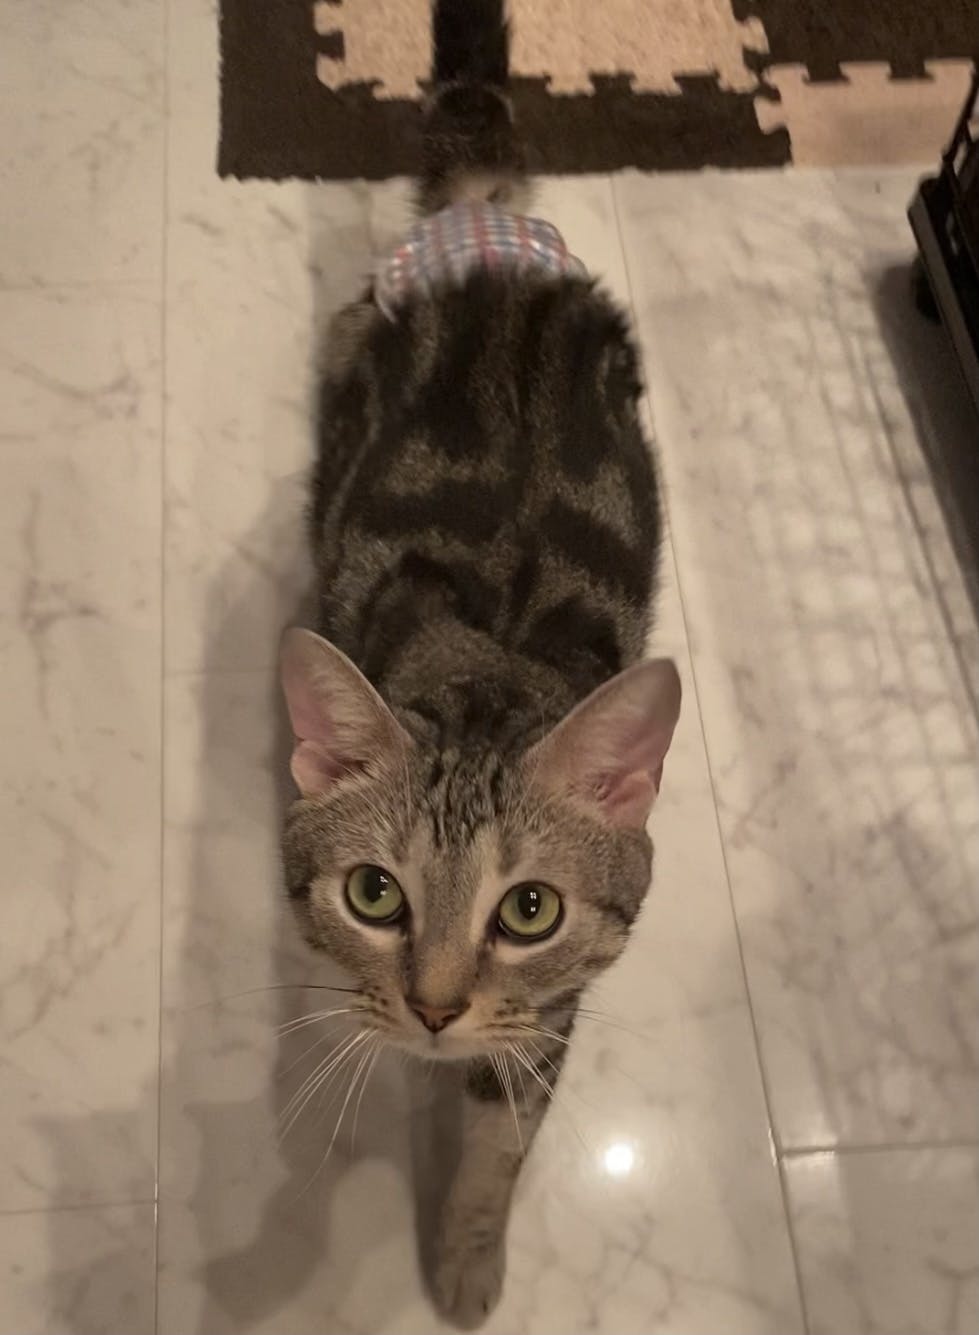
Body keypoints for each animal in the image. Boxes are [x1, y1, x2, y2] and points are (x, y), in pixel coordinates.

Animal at [279, 0, 681, 1326]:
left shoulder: (546, 1015)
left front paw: (465, 1261)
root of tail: (485, 226)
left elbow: (499, 1145)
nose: (437, 1007)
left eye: (530, 909)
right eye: (374, 893)